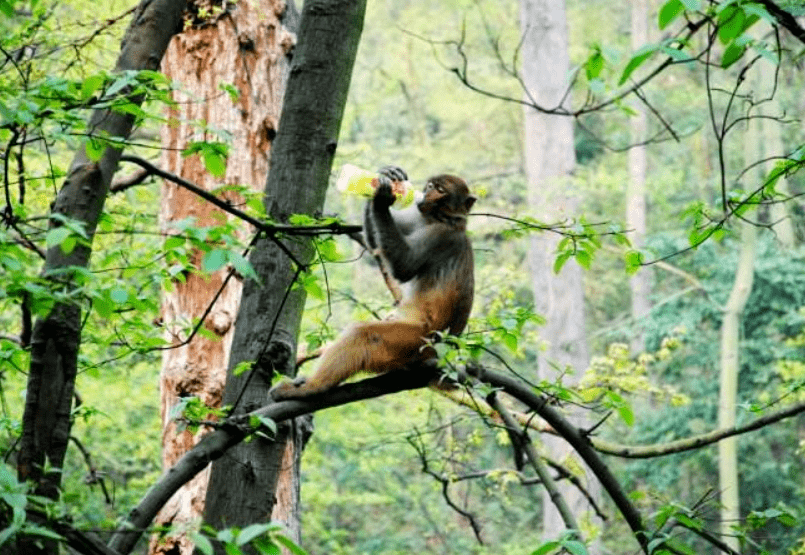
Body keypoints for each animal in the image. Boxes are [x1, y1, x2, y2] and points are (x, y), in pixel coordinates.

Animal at [270, 165, 474, 400]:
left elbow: (405, 265)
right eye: (431, 185)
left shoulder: (440, 237)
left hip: (414, 343)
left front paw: (381, 198)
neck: (440, 219)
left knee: (364, 335)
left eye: (440, 190)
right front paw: (386, 177)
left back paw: (314, 387)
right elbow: (376, 243)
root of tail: (441, 354)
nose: (427, 192)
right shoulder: (418, 217)